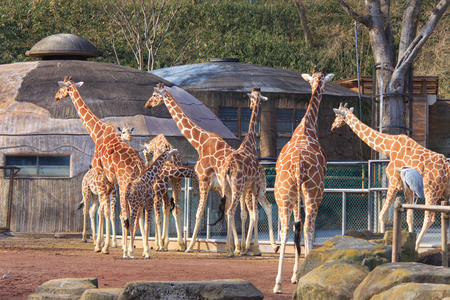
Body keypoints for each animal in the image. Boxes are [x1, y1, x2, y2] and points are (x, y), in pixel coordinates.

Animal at [54, 77, 145, 258]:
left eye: (61, 89)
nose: (56, 97)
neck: (96, 133)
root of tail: (139, 165)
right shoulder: (109, 183)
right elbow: (104, 211)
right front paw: (103, 244)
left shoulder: (101, 176)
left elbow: (105, 212)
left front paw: (103, 246)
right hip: (135, 187)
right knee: (136, 214)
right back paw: (134, 250)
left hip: (125, 184)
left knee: (126, 215)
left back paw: (127, 252)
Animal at [270, 66, 334, 292]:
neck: (307, 126)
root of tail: (298, 164)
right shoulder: (310, 192)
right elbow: (309, 229)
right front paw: (299, 274)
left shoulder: (293, 194)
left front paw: (295, 275)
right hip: (314, 192)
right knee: (307, 227)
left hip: (282, 194)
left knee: (286, 229)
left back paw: (278, 283)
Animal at [330, 102, 450, 250]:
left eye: (336, 115)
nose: (332, 126)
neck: (388, 147)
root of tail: (446, 167)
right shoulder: (407, 187)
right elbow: (409, 216)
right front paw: (409, 239)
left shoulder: (394, 181)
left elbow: (382, 214)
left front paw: (384, 239)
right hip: (444, 191)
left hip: (431, 191)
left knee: (429, 218)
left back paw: (417, 245)